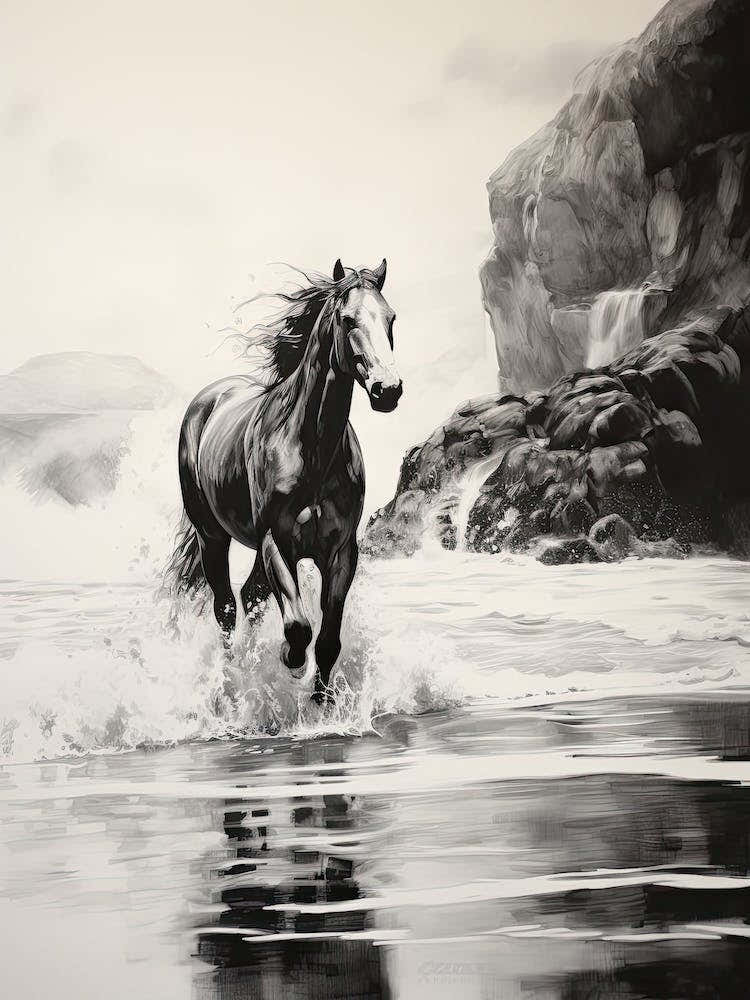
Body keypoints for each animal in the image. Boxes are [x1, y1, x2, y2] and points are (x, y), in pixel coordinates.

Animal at [166, 258, 402, 703]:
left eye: (391, 318)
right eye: (347, 320)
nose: (388, 390)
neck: (310, 448)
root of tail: (209, 399)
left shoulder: (341, 552)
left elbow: (328, 639)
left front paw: (322, 699)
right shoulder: (278, 542)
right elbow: (298, 627)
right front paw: (291, 663)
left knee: (249, 596)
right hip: (212, 538)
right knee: (226, 608)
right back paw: (233, 684)